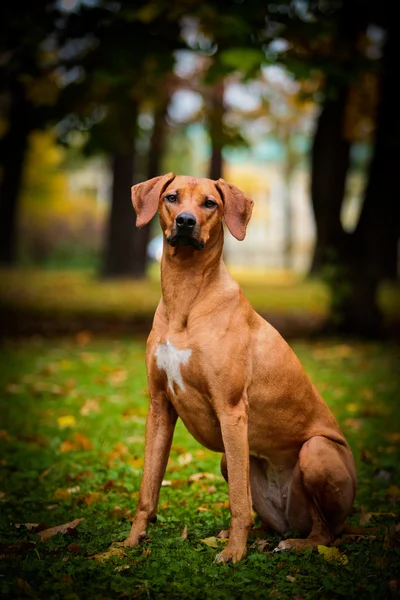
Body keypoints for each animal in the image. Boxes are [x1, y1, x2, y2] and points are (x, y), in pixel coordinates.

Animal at [122, 172, 356, 564]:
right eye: (172, 197)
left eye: (209, 203)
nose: (185, 222)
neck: (186, 294)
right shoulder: (159, 408)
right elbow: (147, 489)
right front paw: (127, 544)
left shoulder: (231, 410)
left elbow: (236, 503)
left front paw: (233, 554)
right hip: (234, 465)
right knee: (268, 519)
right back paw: (255, 537)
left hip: (316, 452)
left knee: (323, 532)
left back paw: (293, 544)